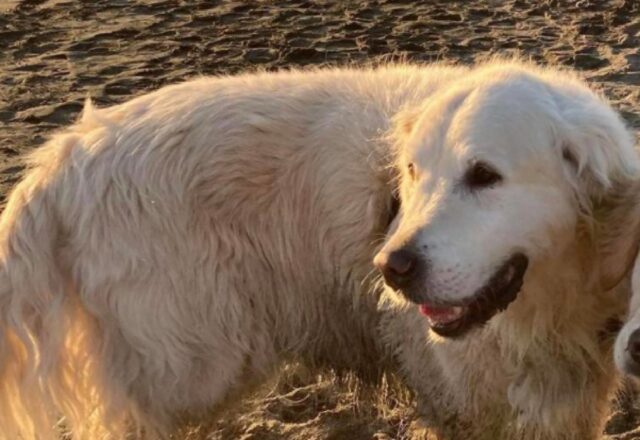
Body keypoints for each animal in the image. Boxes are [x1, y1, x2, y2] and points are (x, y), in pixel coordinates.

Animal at [0, 59, 636, 440]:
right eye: (412, 171)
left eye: (484, 175)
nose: (391, 268)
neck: (541, 317)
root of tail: (66, 154)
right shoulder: (464, 404)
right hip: (182, 367)